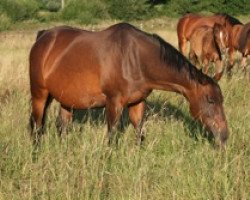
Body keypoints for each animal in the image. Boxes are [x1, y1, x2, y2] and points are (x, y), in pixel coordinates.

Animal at [28, 23, 229, 148]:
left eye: (222, 100)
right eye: (210, 100)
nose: (224, 136)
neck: (135, 58)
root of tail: (43, 36)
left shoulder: (137, 102)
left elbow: (139, 133)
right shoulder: (114, 103)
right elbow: (112, 136)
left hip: (66, 100)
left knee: (62, 127)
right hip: (40, 95)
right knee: (37, 128)